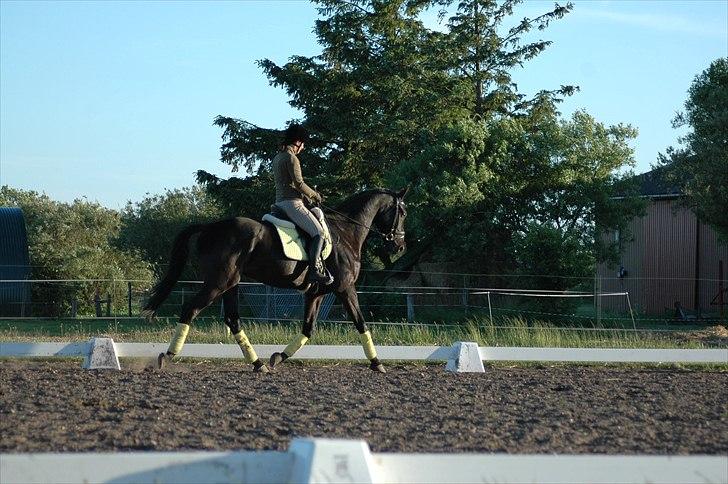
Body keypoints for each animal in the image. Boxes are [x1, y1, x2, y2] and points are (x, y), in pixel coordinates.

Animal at [139, 187, 406, 372]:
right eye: (402, 212)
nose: (399, 245)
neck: (346, 232)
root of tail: (210, 227)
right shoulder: (345, 288)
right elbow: (361, 323)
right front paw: (377, 363)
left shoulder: (316, 293)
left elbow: (308, 329)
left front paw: (278, 358)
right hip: (218, 283)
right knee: (191, 309)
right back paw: (167, 357)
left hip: (231, 284)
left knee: (233, 320)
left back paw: (258, 364)